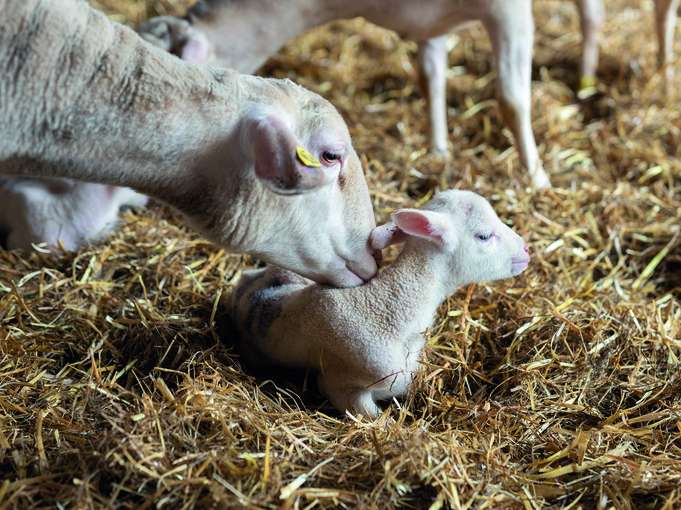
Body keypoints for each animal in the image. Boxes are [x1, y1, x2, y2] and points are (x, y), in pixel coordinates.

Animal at [231, 189, 528, 416]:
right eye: (484, 236)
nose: (526, 250)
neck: (387, 304)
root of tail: (245, 283)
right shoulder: (344, 386)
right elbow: (370, 415)